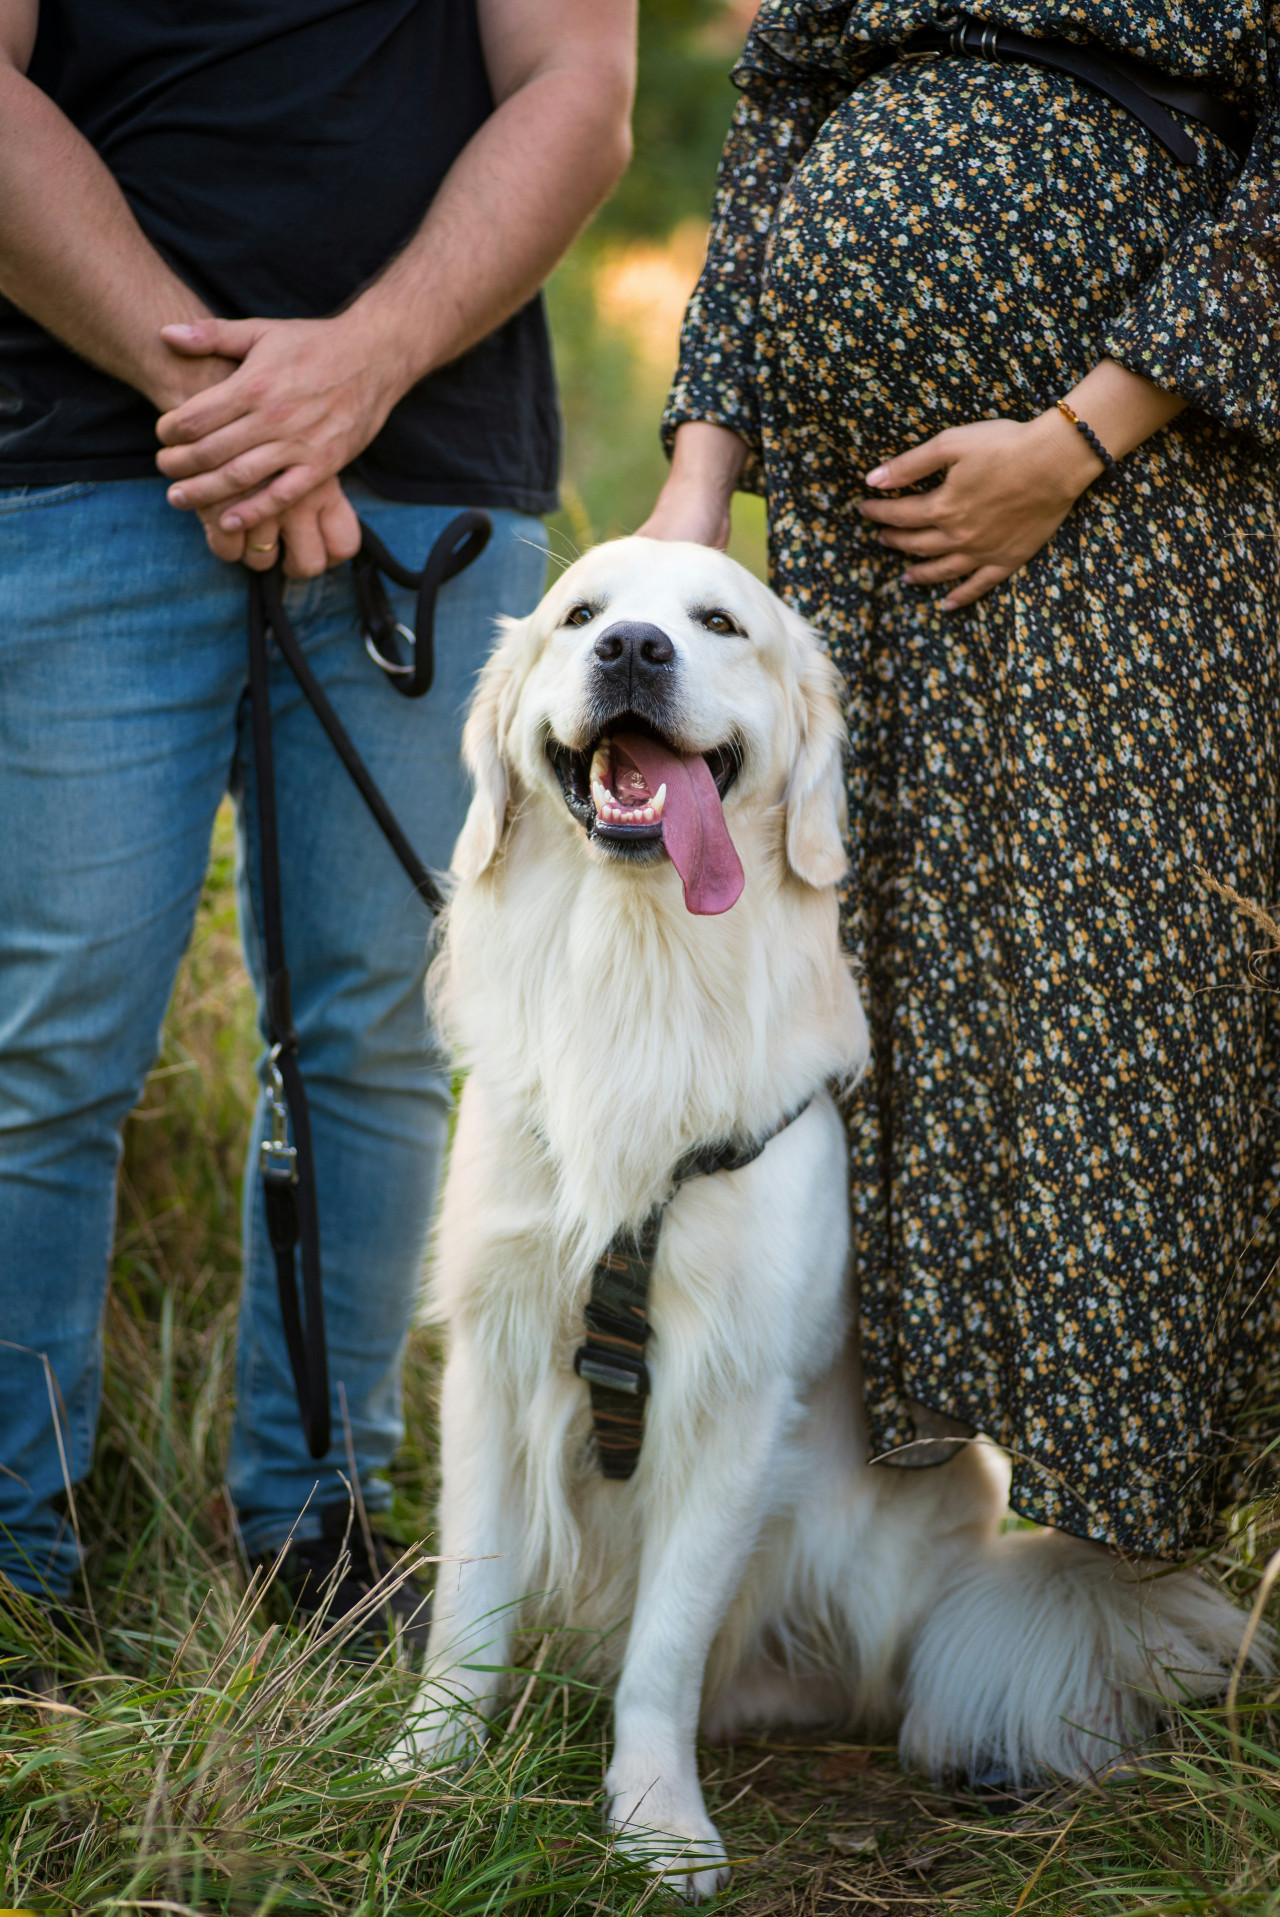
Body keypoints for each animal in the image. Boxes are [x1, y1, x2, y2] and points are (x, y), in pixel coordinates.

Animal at [387, 540, 1249, 1901]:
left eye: (716, 622)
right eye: (582, 614)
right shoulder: (493, 1351)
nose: (631, 650)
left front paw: (656, 1820)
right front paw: (426, 1771)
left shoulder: (731, 1396)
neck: (639, 966)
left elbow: (665, 1646)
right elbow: (469, 1606)